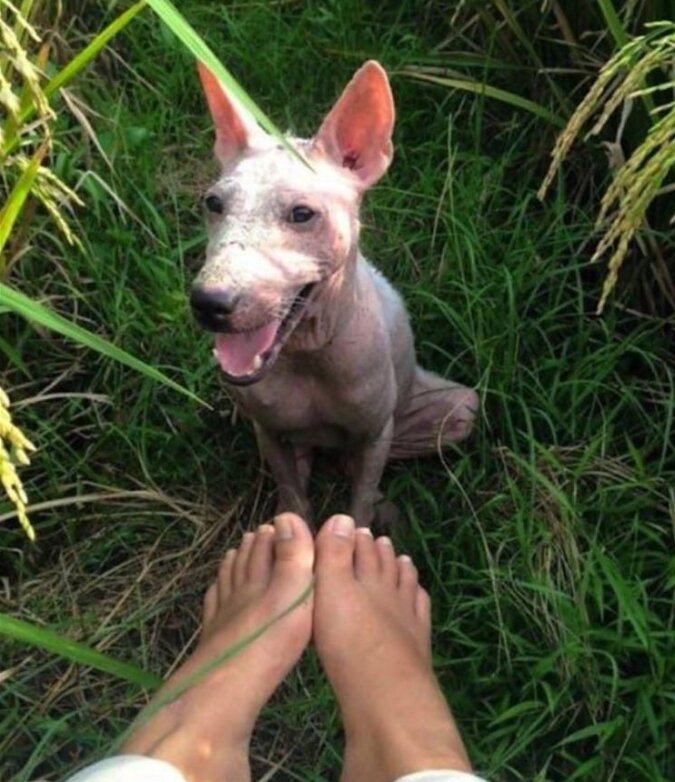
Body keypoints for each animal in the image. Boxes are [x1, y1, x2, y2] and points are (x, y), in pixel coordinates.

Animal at [187, 59, 478, 528]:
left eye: (302, 214)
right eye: (213, 204)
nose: (209, 303)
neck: (308, 352)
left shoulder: (376, 434)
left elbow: (358, 502)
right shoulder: (268, 432)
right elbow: (292, 494)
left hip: (456, 408)